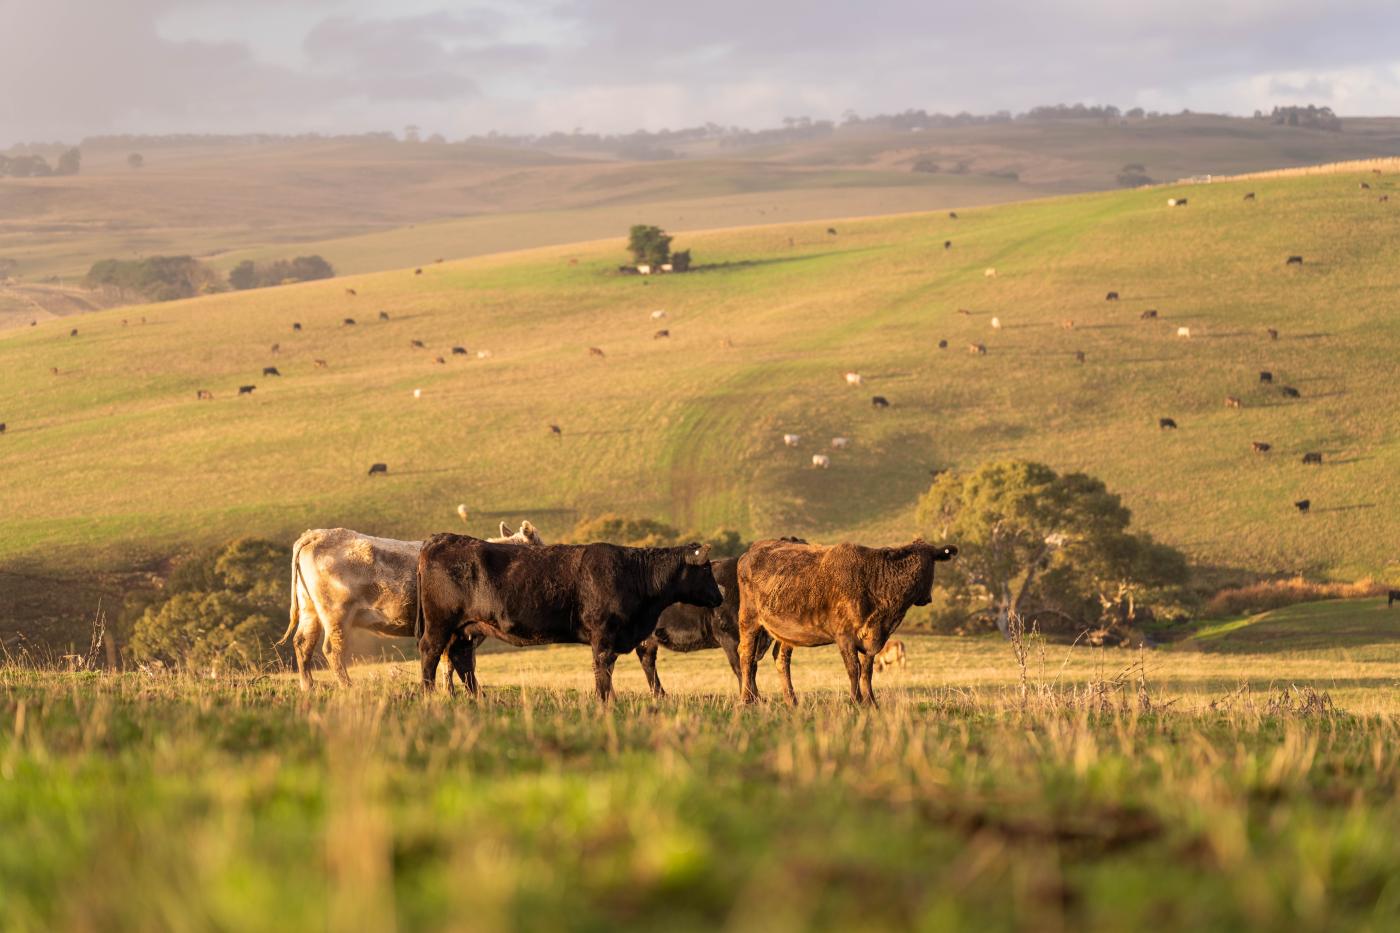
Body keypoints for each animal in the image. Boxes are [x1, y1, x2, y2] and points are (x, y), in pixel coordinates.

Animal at [281, 522, 544, 690]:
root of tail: (316, 534)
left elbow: (449, 663)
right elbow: (457, 663)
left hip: (310, 609)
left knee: (303, 644)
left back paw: (308, 687)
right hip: (336, 612)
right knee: (331, 650)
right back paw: (347, 686)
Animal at [415, 537, 722, 700]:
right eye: (707, 569)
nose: (720, 597)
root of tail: (439, 539)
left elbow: (607, 669)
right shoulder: (603, 635)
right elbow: (602, 668)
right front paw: (604, 700)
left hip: (464, 629)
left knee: (460, 659)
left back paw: (479, 698)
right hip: (440, 624)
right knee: (430, 653)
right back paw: (429, 694)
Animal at [634, 557, 775, 698]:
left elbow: (751, 666)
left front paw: (756, 697)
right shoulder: (729, 636)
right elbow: (741, 666)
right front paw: (750, 697)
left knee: (647, 660)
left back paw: (660, 695)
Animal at [736, 538, 956, 705]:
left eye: (932, 561)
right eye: (913, 563)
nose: (926, 598)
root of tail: (749, 552)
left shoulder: (872, 639)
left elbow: (866, 672)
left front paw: (871, 702)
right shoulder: (845, 636)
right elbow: (854, 669)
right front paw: (856, 701)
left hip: (786, 633)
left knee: (781, 659)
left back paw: (792, 701)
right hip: (749, 620)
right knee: (747, 657)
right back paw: (747, 700)